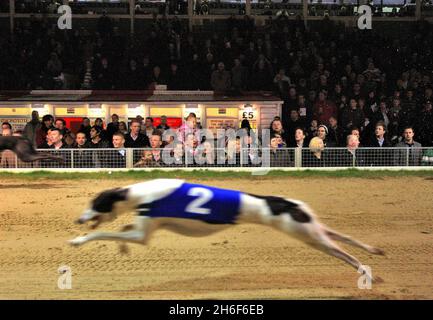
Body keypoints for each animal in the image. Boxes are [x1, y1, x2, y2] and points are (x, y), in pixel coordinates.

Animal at [71, 179, 384, 282]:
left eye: (94, 203)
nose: (77, 219)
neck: (140, 194)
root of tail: (289, 203)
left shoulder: (143, 234)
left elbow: (105, 233)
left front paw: (78, 240)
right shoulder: (142, 228)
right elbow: (123, 230)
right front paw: (121, 248)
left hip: (308, 236)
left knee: (343, 252)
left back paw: (366, 271)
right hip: (312, 229)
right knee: (342, 237)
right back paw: (374, 252)